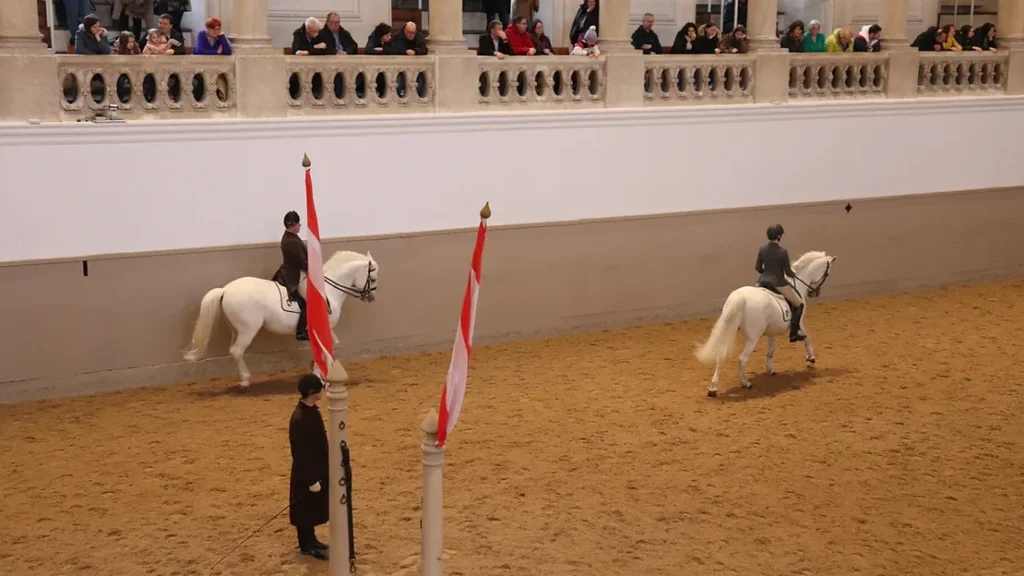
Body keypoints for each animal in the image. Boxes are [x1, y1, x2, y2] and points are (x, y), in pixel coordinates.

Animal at [182, 250, 378, 387]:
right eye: (373, 278)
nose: (371, 297)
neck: (327, 290)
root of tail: (225, 289)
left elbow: (330, 347)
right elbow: (326, 349)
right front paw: (320, 375)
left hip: (235, 329)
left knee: (233, 350)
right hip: (248, 329)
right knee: (237, 351)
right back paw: (245, 380)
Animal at [692, 224, 835, 393]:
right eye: (827, 273)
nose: (815, 293)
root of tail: (740, 297)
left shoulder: (772, 331)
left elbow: (771, 350)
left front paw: (770, 369)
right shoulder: (799, 322)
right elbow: (806, 338)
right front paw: (811, 358)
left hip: (730, 328)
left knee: (721, 356)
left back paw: (713, 389)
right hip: (753, 337)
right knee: (742, 359)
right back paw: (745, 383)